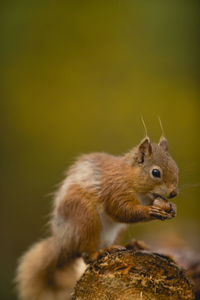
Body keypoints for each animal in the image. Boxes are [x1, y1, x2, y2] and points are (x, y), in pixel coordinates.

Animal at [15, 130, 178, 298]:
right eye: (155, 172)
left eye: (175, 167)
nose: (174, 193)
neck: (129, 177)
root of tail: (63, 242)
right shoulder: (115, 190)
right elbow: (121, 210)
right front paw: (150, 211)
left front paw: (172, 208)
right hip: (86, 218)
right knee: (86, 255)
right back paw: (100, 252)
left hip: (116, 230)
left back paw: (130, 245)